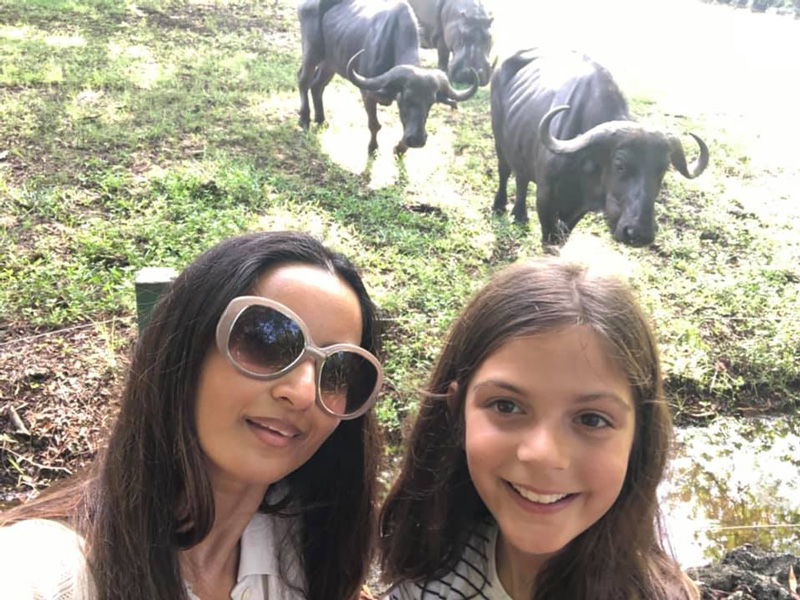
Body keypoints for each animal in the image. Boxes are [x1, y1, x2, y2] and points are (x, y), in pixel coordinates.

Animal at [298, 0, 476, 155]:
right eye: (407, 98)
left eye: (431, 102)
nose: (417, 140)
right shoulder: (367, 94)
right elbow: (374, 125)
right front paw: (373, 148)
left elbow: (404, 123)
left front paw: (400, 148)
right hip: (311, 52)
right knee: (303, 80)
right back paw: (304, 119)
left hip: (330, 63)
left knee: (317, 85)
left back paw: (321, 119)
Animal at [488, 48, 708, 246]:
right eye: (620, 165)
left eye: (662, 170)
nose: (638, 233)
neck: (582, 166)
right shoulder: (545, 198)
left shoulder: (580, 208)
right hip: (499, 140)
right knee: (504, 170)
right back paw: (499, 206)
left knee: (521, 177)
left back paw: (520, 215)